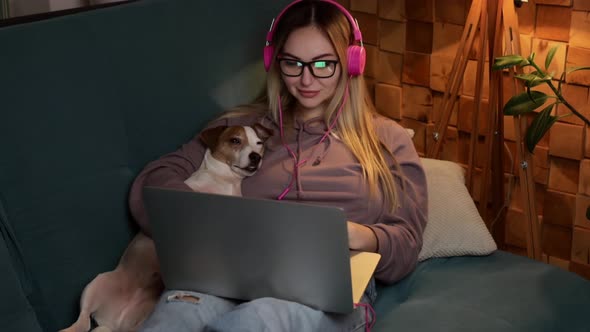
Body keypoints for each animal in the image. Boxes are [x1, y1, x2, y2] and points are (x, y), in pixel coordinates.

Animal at [60, 124, 272, 332]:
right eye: (235, 140)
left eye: (259, 143)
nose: (256, 156)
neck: (226, 181)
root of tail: (115, 322)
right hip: (97, 284)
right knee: (82, 320)